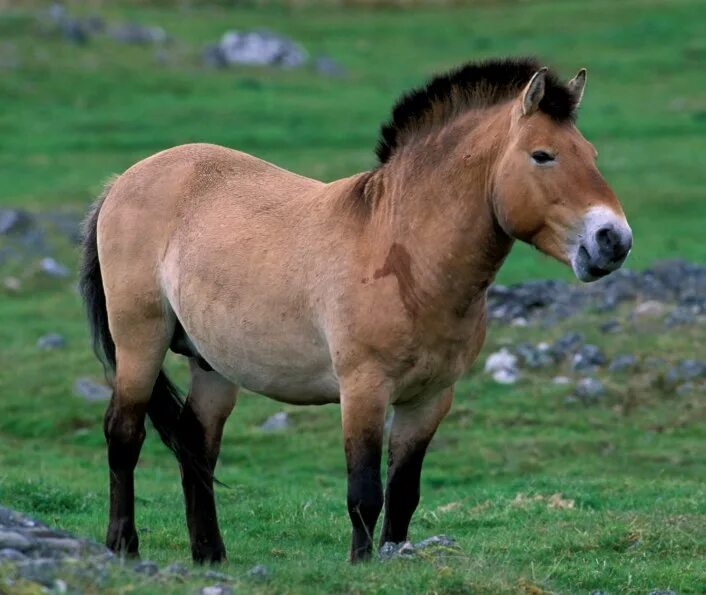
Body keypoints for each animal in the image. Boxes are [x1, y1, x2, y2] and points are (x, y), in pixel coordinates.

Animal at [80, 58, 628, 564]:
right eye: (543, 155)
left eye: (592, 155)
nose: (613, 240)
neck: (405, 256)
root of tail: (123, 181)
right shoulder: (364, 389)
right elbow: (364, 494)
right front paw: (362, 565)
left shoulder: (429, 400)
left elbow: (404, 494)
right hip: (140, 341)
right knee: (123, 434)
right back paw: (123, 546)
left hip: (211, 364)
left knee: (196, 445)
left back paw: (210, 555)